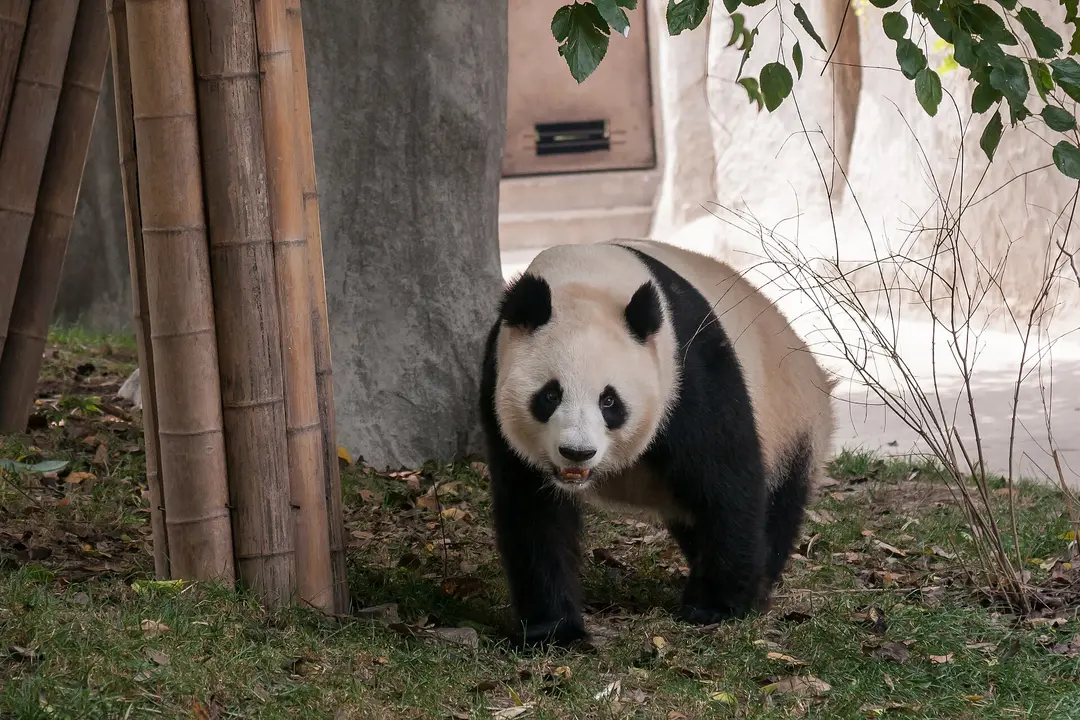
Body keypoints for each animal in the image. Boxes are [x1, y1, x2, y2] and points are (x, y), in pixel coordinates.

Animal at [478, 238, 837, 648]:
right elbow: (534, 514)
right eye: (550, 395)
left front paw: (715, 607)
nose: (577, 453)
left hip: (792, 423)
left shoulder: (688, 369)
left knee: (776, 504)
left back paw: (759, 585)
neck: (585, 278)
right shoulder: (496, 383)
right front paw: (553, 631)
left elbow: (726, 482)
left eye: (609, 401)